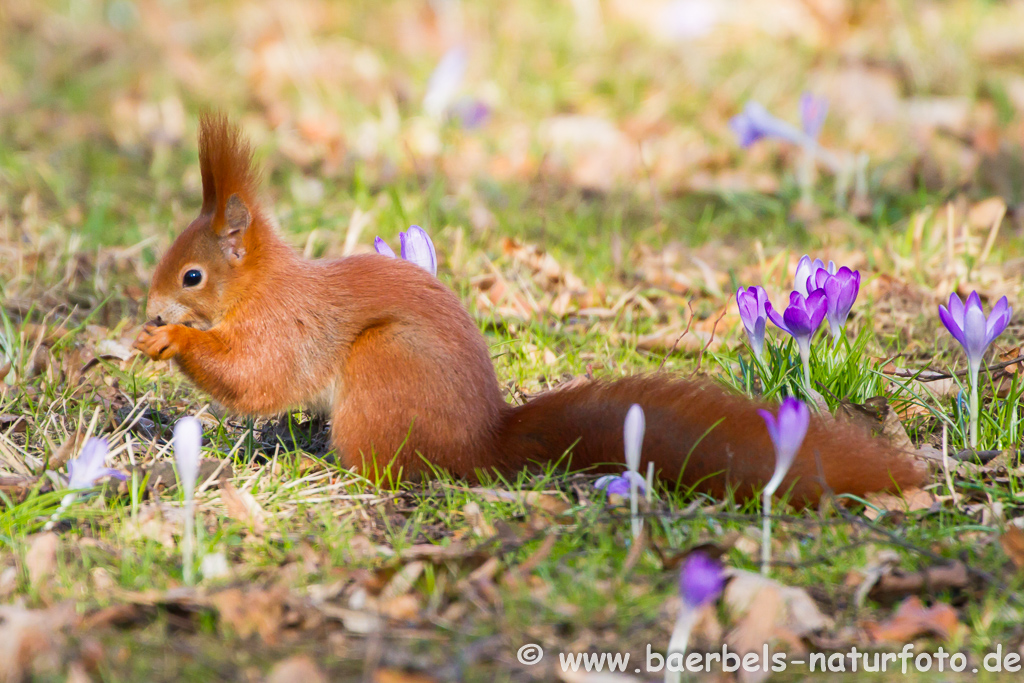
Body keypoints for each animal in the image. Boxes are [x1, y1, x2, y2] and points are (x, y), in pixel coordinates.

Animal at [132, 114, 925, 505]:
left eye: (192, 274)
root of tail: (485, 445)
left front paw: (171, 343)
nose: (150, 309)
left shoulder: (287, 326)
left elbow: (258, 377)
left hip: (383, 370)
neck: (262, 285)